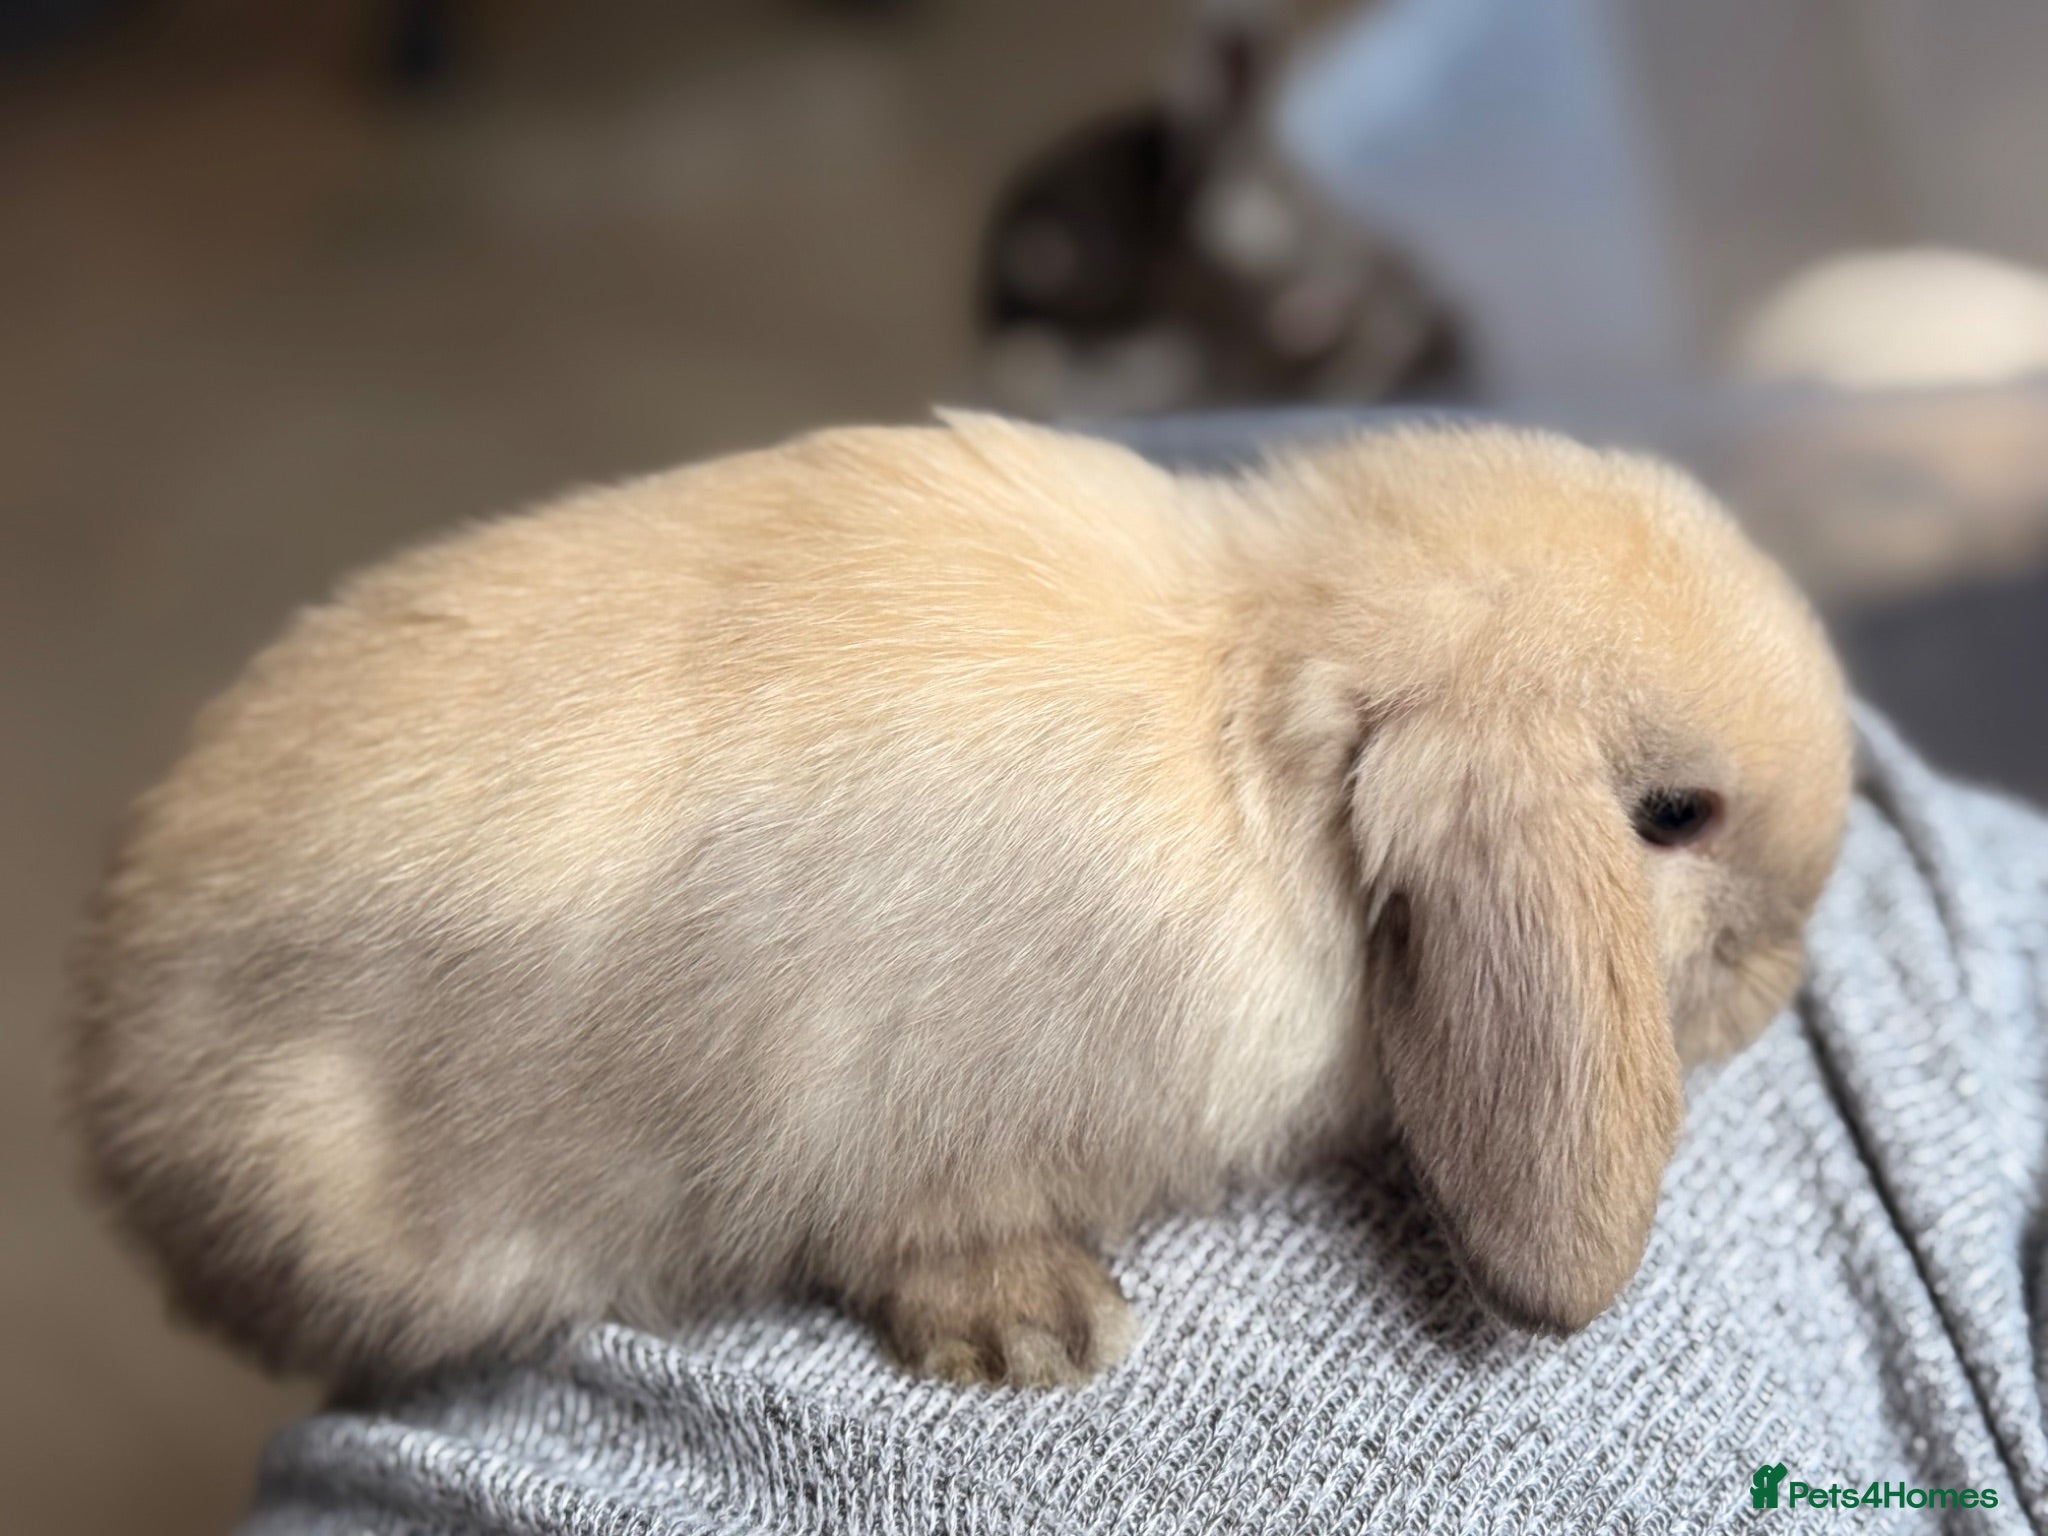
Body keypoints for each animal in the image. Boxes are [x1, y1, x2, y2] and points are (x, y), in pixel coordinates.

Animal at [67, 414, 1852, 1391]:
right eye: (1671, 816)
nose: (1788, 976)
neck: (1254, 706)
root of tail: (106, 1106)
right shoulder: (879, 1110)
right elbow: (918, 1229)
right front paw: (1045, 1337)